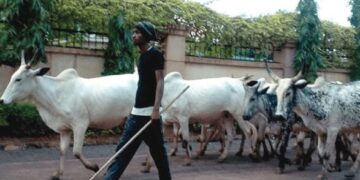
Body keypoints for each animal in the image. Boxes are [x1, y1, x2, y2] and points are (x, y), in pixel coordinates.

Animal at [0, 53, 138, 180]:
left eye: (18, 79)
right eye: (12, 77)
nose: (2, 100)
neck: (56, 94)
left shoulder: (80, 124)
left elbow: (76, 152)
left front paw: (94, 167)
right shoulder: (64, 129)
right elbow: (62, 151)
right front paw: (57, 174)